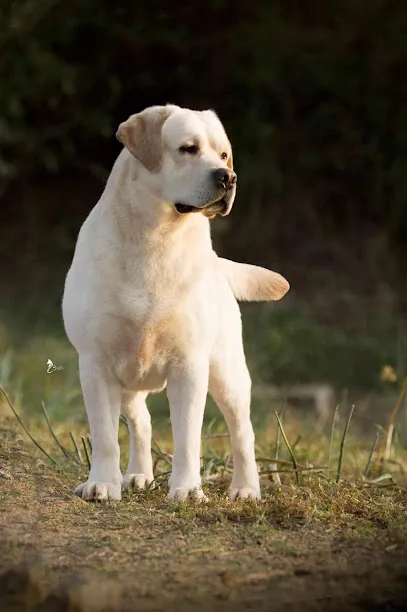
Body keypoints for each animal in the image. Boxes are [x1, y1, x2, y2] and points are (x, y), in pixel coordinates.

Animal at [62, 103, 288, 500]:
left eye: (224, 154)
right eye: (188, 149)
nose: (229, 177)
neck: (158, 238)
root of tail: (218, 265)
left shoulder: (189, 365)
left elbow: (187, 437)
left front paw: (186, 489)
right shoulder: (95, 364)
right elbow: (105, 436)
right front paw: (102, 483)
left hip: (228, 373)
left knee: (242, 432)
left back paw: (245, 488)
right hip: (129, 379)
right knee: (142, 421)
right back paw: (138, 475)